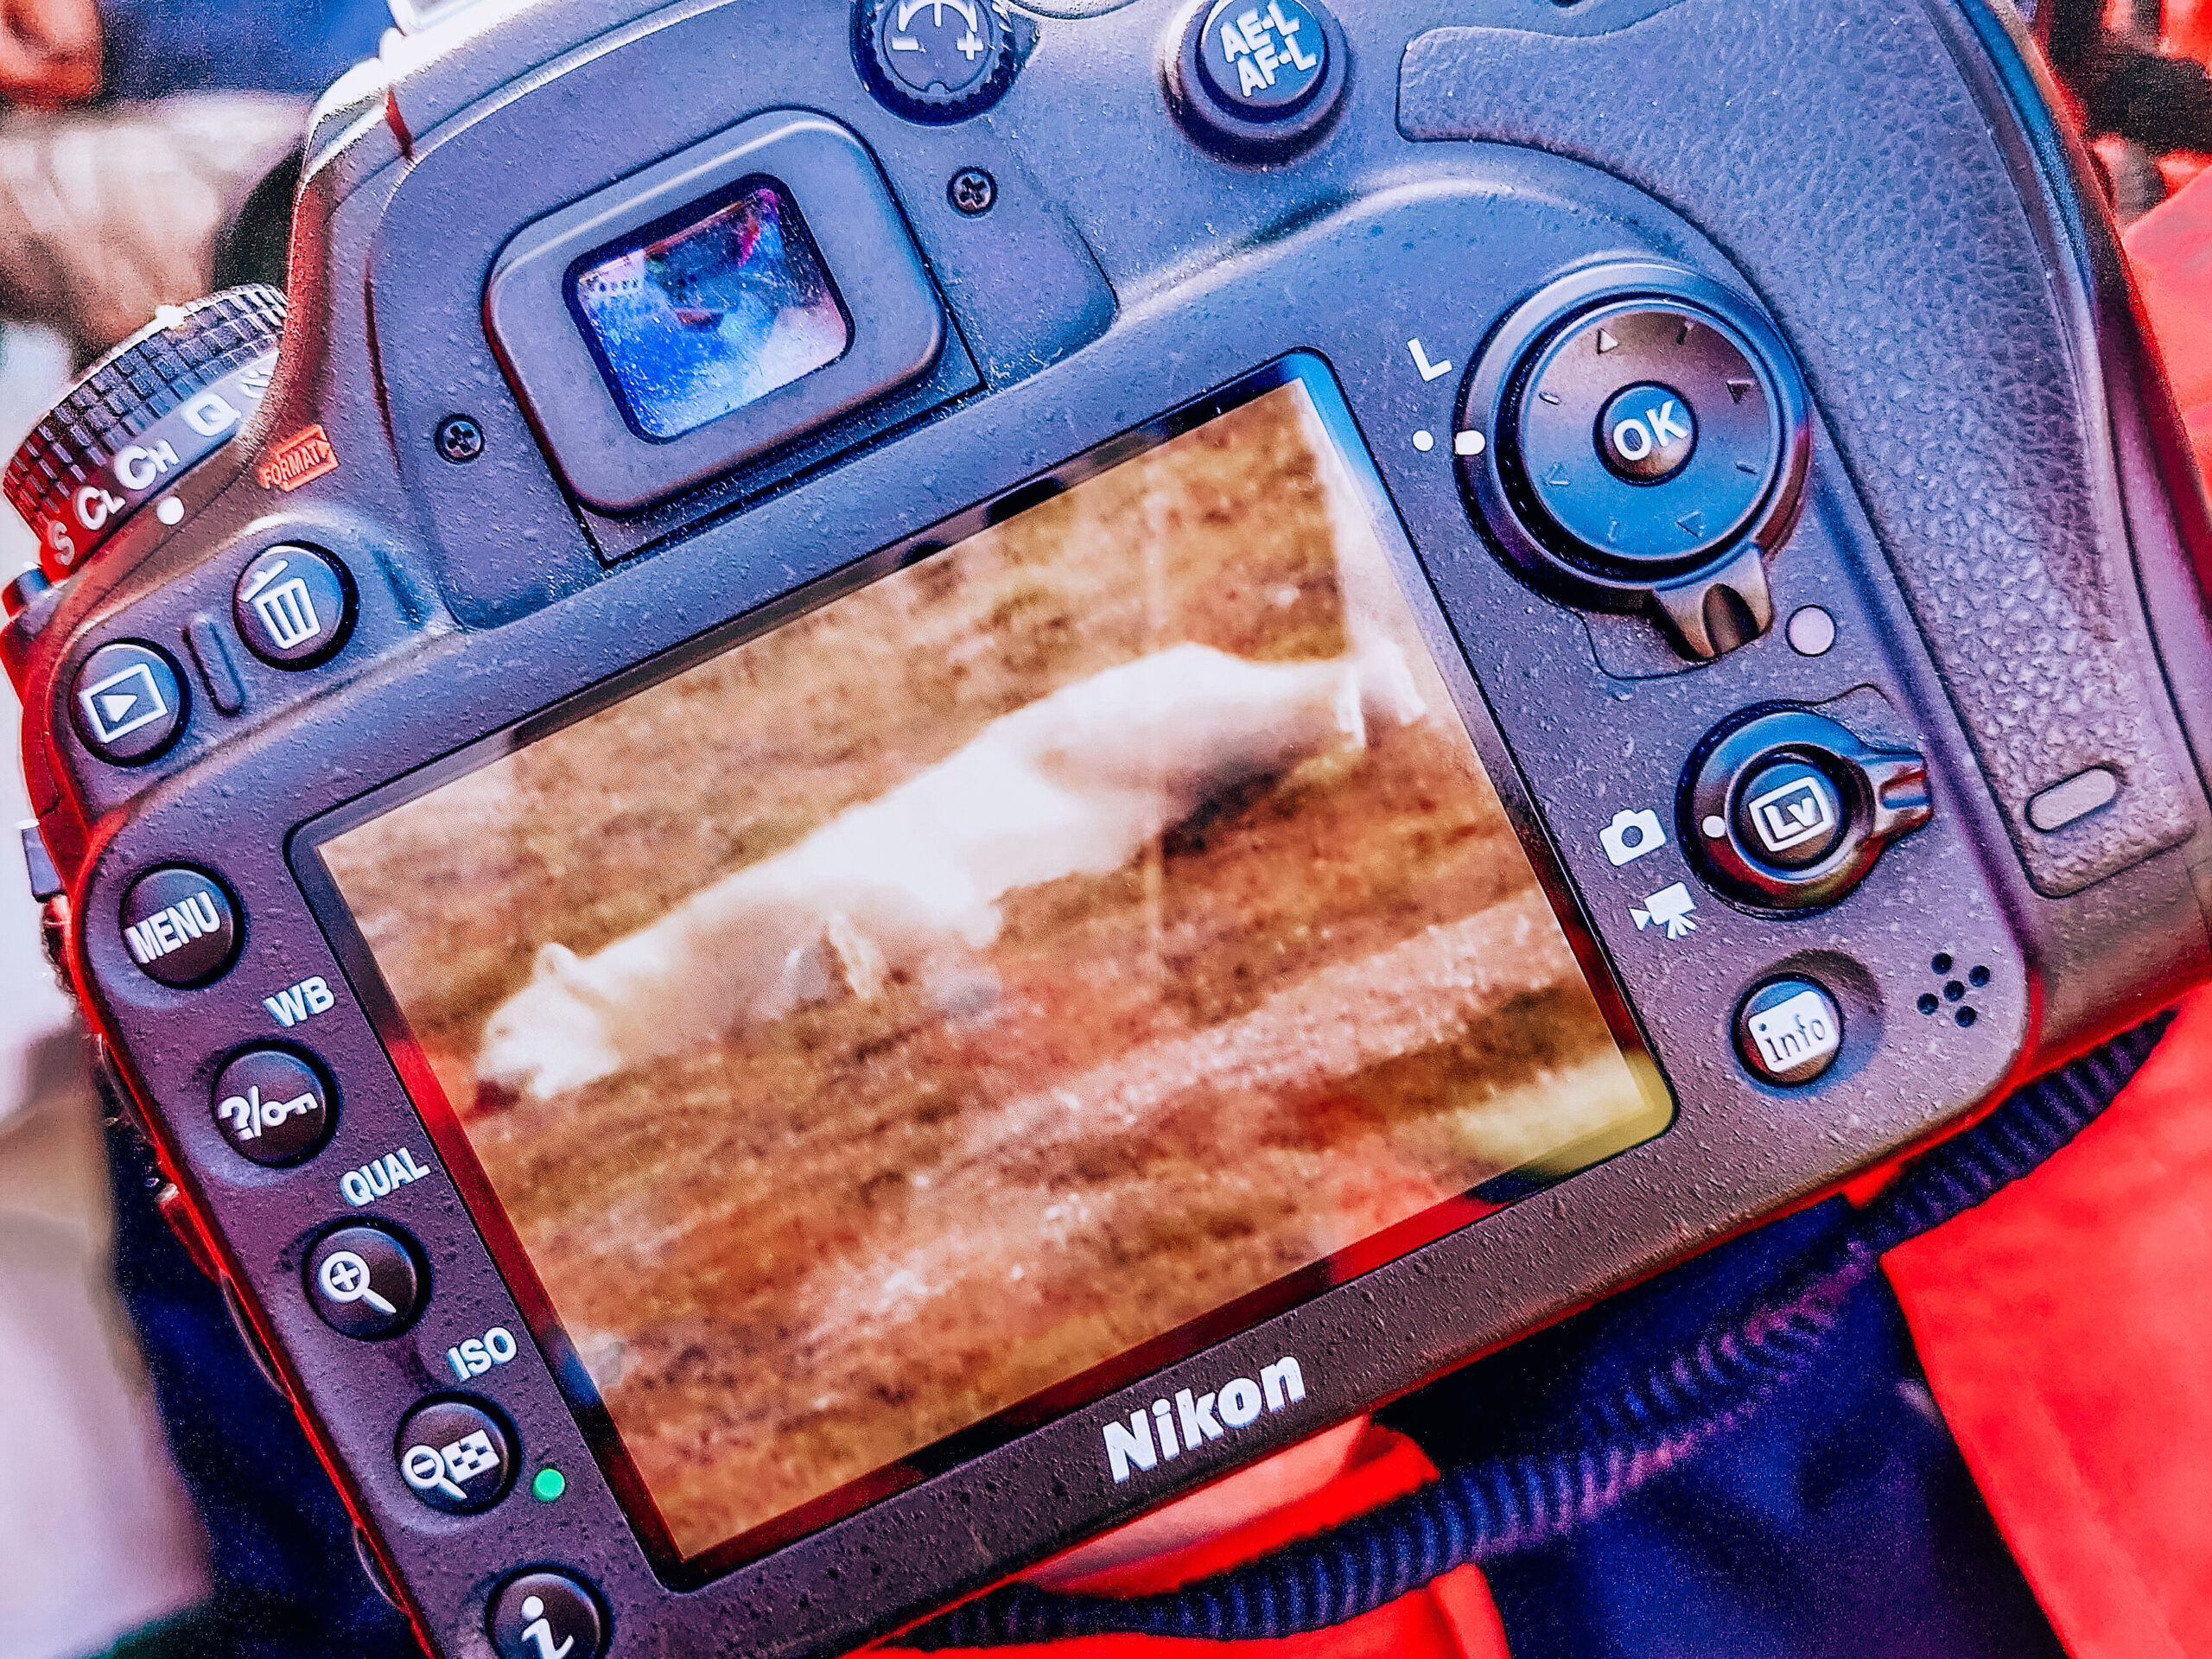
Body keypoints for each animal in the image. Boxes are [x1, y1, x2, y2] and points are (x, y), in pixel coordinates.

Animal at [475, 637, 1424, 1106]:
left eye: (501, 1031)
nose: (483, 1088)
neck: (682, 974)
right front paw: (846, 967)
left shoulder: (784, 889)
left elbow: (908, 897)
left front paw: (869, 949)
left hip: (1107, 723)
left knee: (1224, 718)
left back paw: (1354, 705)